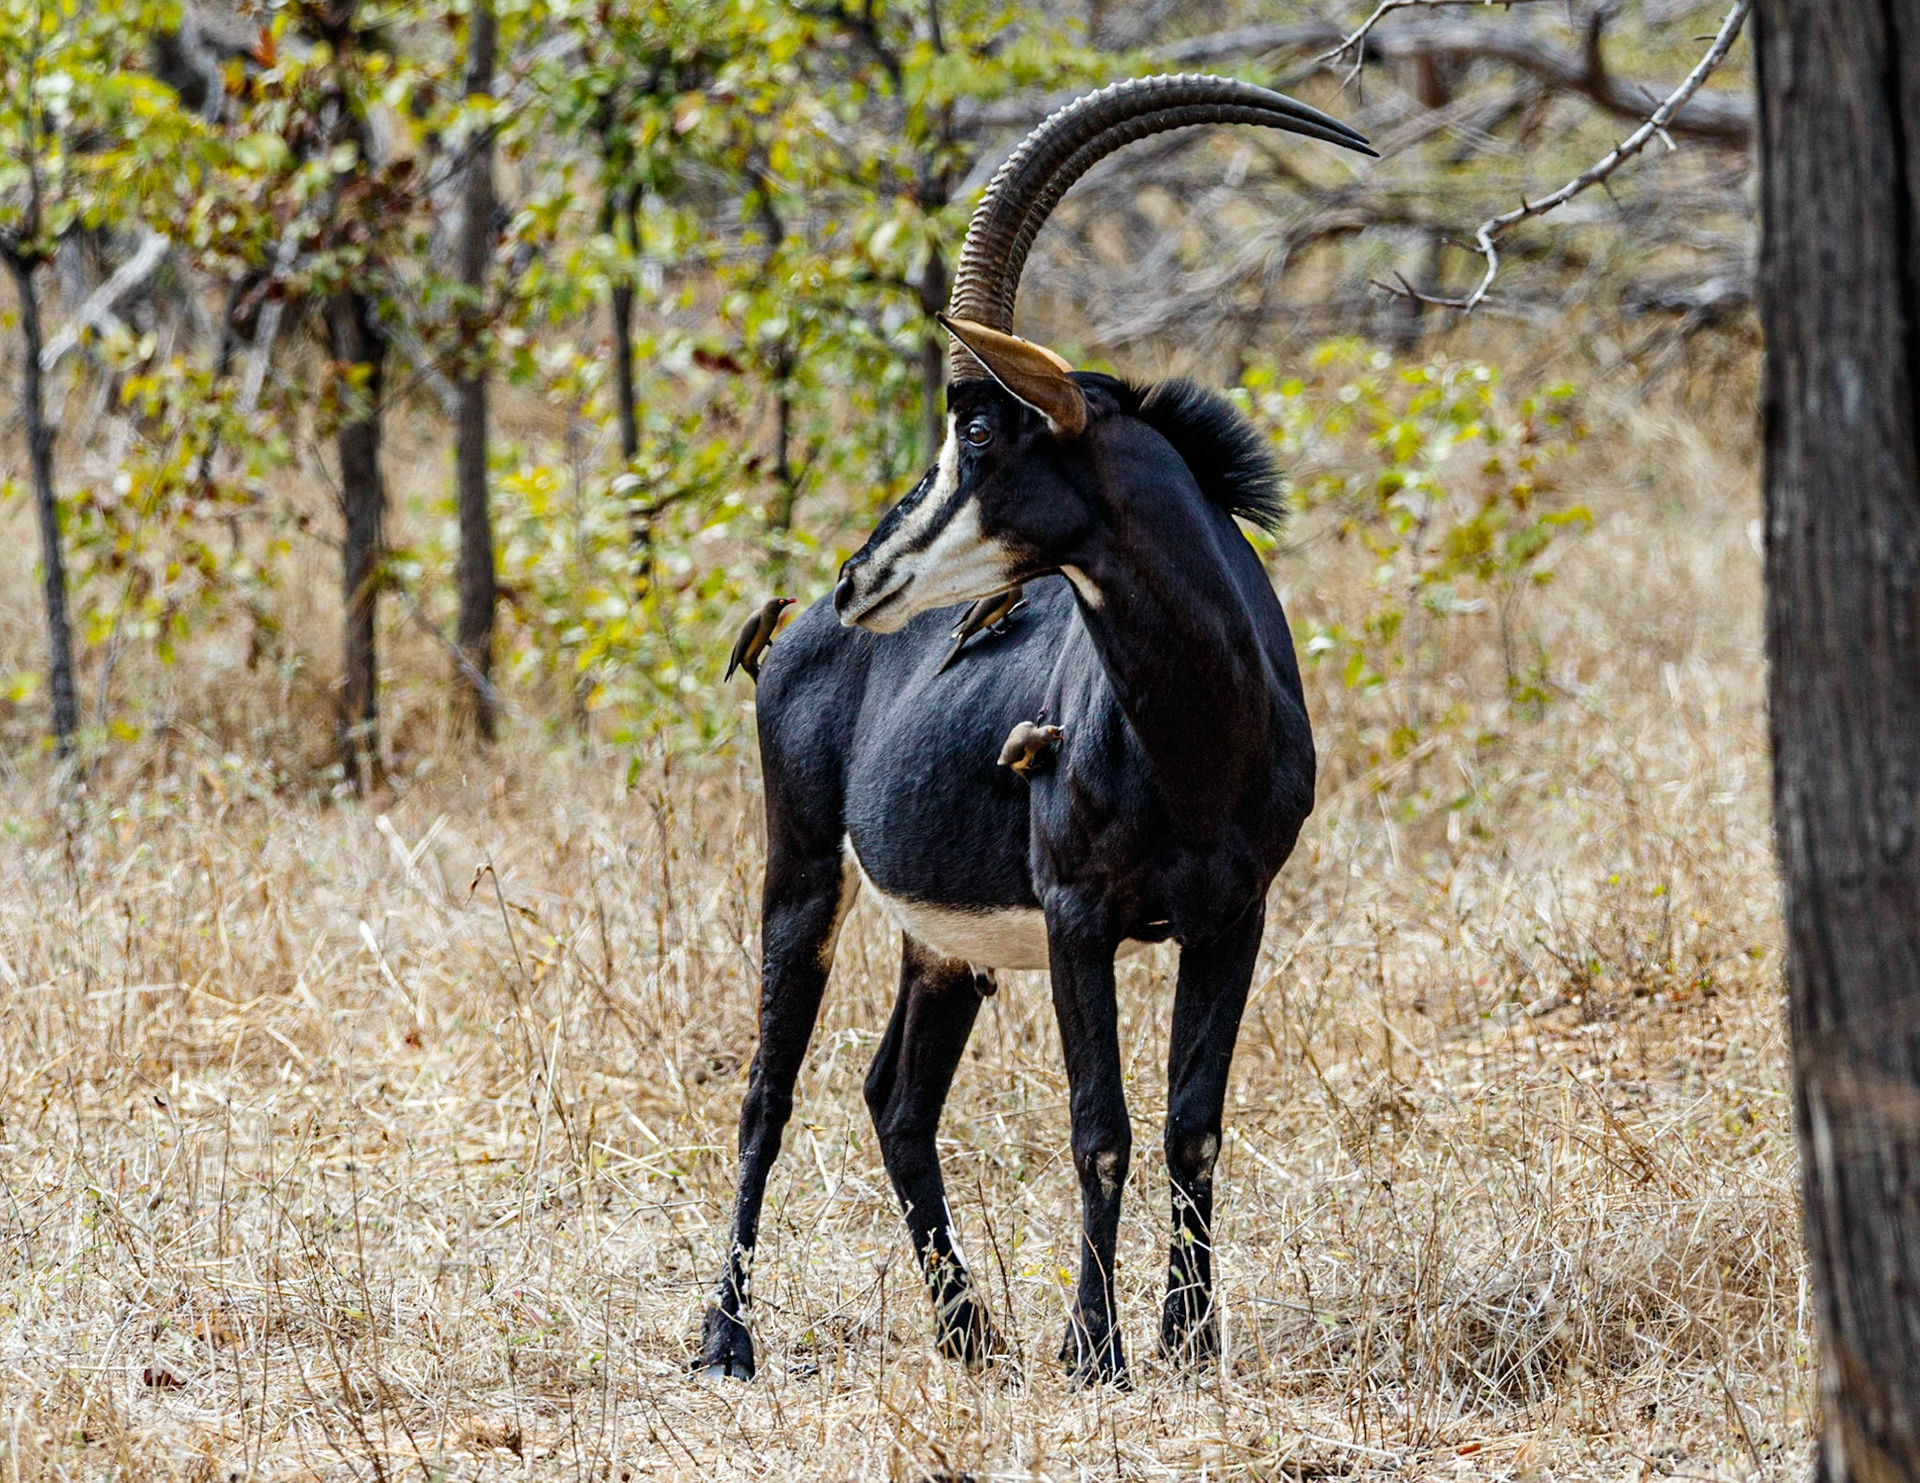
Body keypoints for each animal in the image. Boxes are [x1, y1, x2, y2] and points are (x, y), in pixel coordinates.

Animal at [698, 75, 1374, 1385]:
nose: (862, 575)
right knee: (767, 1090)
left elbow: (1194, 1122)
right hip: (801, 873)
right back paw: (724, 1338)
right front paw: (1094, 1350)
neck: (1200, 737)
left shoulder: (1237, 915)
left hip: (943, 947)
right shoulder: (1077, 915)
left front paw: (1189, 1342)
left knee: (895, 1098)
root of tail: (790, 633)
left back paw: (968, 1332)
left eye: (979, 431)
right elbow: (1100, 1124)